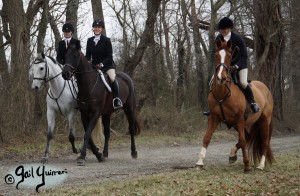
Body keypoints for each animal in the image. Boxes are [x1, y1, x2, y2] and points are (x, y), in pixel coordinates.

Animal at [197, 38, 274, 172]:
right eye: (216, 55)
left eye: (229, 56)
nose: (221, 78)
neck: (222, 93)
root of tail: (266, 88)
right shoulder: (214, 118)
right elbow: (207, 138)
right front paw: (199, 163)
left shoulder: (239, 118)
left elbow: (242, 141)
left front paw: (247, 166)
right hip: (238, 124)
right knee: (248, 137)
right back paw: (232, 155)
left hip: (264, 120)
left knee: (264, 141)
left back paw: (260, 165)